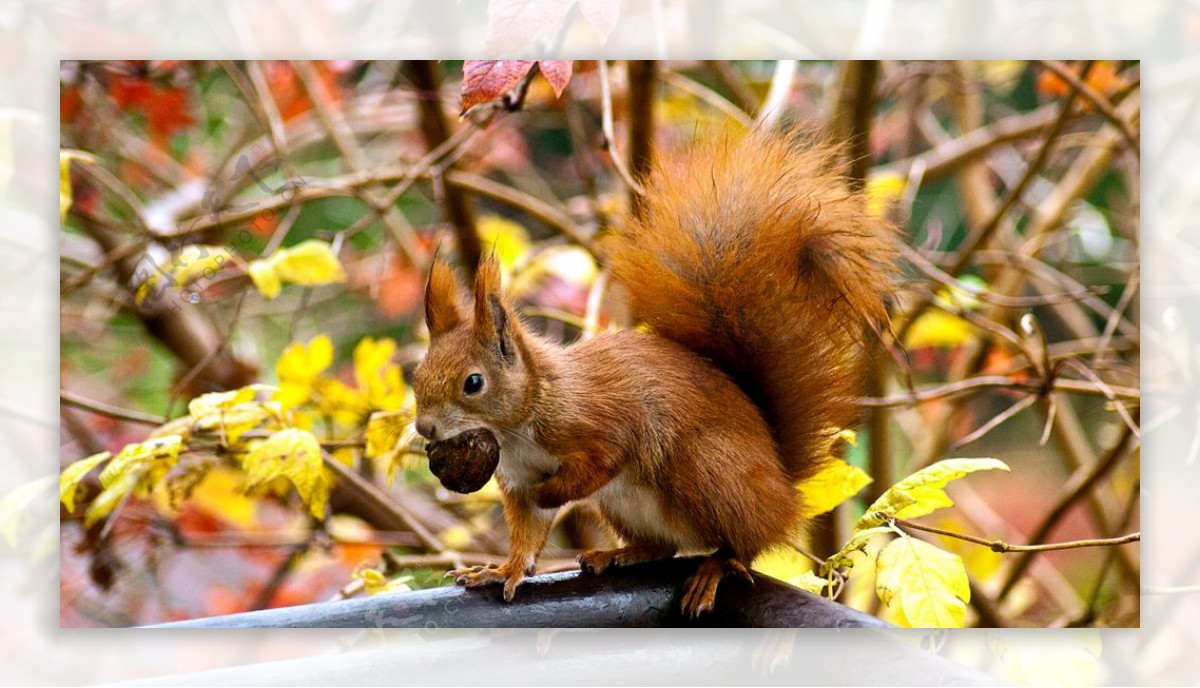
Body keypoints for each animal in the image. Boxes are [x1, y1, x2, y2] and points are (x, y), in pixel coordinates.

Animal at [415, 128, 902, 614]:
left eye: (473, 383)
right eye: (418, 377)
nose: (424, 428)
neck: (519, 424)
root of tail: (782, 487)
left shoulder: (600, 420)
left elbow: (602, 460)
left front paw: (551, 492)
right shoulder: (516, 480)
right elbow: (527, 534)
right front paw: (501, 570)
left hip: (707, 472)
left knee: (744, 545)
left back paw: (714, 568)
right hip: (629, 506)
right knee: (666, 548)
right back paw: (619, 554)